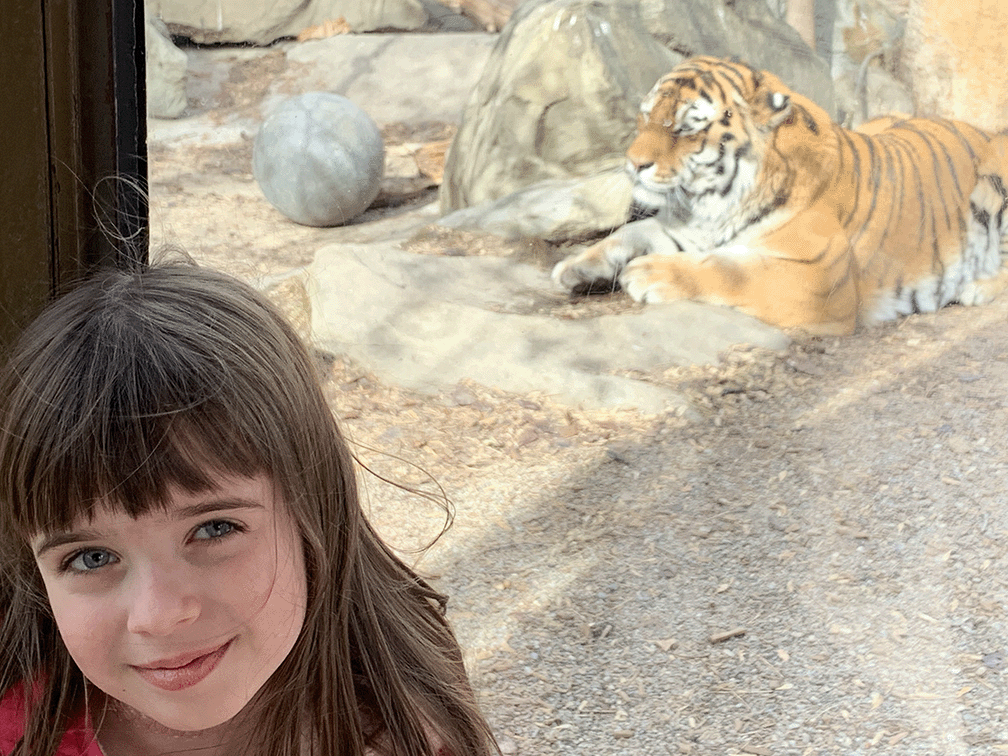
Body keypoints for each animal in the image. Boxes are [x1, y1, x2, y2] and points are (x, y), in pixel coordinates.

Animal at [551, 56, 1008, 334]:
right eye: (645, 117)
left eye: (683, 129)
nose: (634, 163)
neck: (712, 202)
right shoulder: (689, 228)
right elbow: (631, 232)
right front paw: (575, 267)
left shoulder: (817, 278)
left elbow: (728, 270)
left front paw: (650, 274)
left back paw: (977, 287)